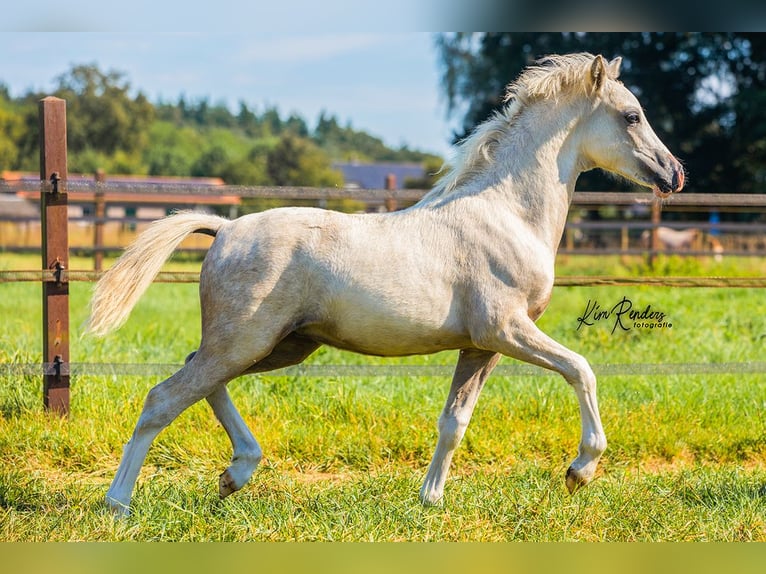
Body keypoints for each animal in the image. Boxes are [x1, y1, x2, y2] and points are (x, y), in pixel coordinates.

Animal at [87, 53, 688, 516]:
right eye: (631, 115)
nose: (674, 174)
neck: (507, 214)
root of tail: (227, 227)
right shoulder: (506, 330)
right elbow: (581, 369)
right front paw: (580, 469)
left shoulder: (479, 347)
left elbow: (454, 422)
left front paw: (430, 500)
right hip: (246, 342)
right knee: (165, 397)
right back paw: (119, 502)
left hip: (278, 346)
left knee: (200, 378)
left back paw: (236, 474)